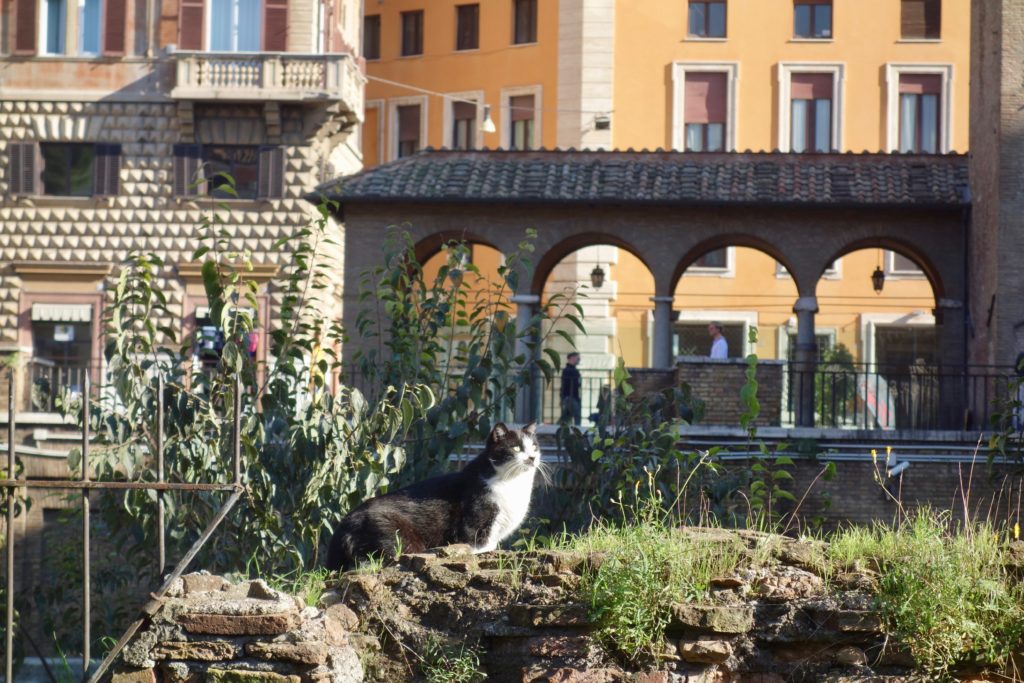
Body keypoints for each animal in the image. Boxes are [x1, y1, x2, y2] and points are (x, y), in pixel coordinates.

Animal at [325, 421, 544, 573]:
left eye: (534, 446)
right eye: (516, 448)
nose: (532, 457)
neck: (511, 483)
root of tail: (341, 530)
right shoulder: (474, 525)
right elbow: (479, 545)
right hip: (397, 536)